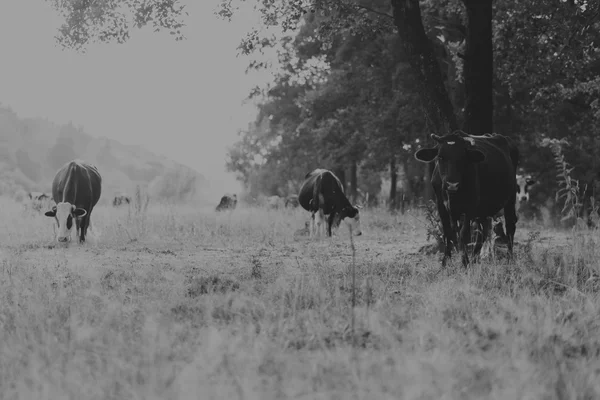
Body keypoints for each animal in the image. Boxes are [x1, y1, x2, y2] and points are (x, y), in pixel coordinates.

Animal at [414, 133, 516, 268]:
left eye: (463, 157)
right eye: (440, 156)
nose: (452, 184)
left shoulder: (469, 207)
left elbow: (464, 234)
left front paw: (464, 263)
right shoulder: (441, 206)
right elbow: (448, 233)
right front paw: (445, 263)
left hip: (511, 198)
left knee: (510, 225)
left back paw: (509, 259)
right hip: (483, 209)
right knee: (483, 230)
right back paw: (475, 258)